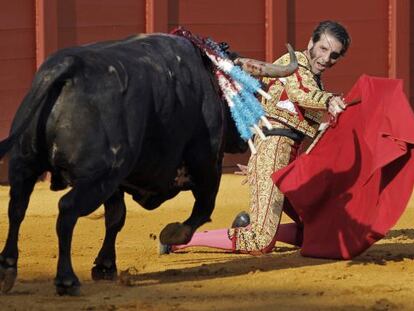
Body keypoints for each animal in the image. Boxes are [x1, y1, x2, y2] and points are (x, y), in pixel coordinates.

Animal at [0, 33, 298, 296]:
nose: (244, 140)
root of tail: (67, 67)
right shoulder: (207, 163)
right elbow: (204, 207)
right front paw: (172, 234)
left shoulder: (118, 183)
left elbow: (116, 218)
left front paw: (105, 267)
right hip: (97, 177)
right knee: (66, 210)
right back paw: (66, 279)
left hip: (25, 166)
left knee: (17, 208)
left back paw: (7, 269)